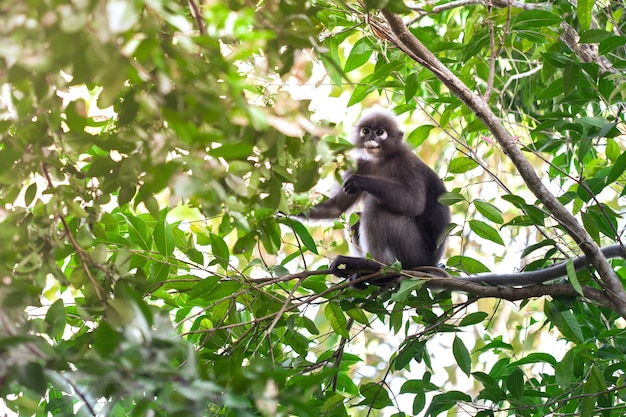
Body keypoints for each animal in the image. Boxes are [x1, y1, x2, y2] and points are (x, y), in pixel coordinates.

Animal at [302, 108, 448, 286]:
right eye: (366, 131)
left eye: (380, 132)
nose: (371, 138)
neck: (382, 159)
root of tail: (431, 263)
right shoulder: (361, 164)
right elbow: (336, 207)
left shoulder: (407, 163)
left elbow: (415, 204)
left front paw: (361, 182)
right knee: (356, 217)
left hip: (414, 252)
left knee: (377, 206)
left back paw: (374, 265)